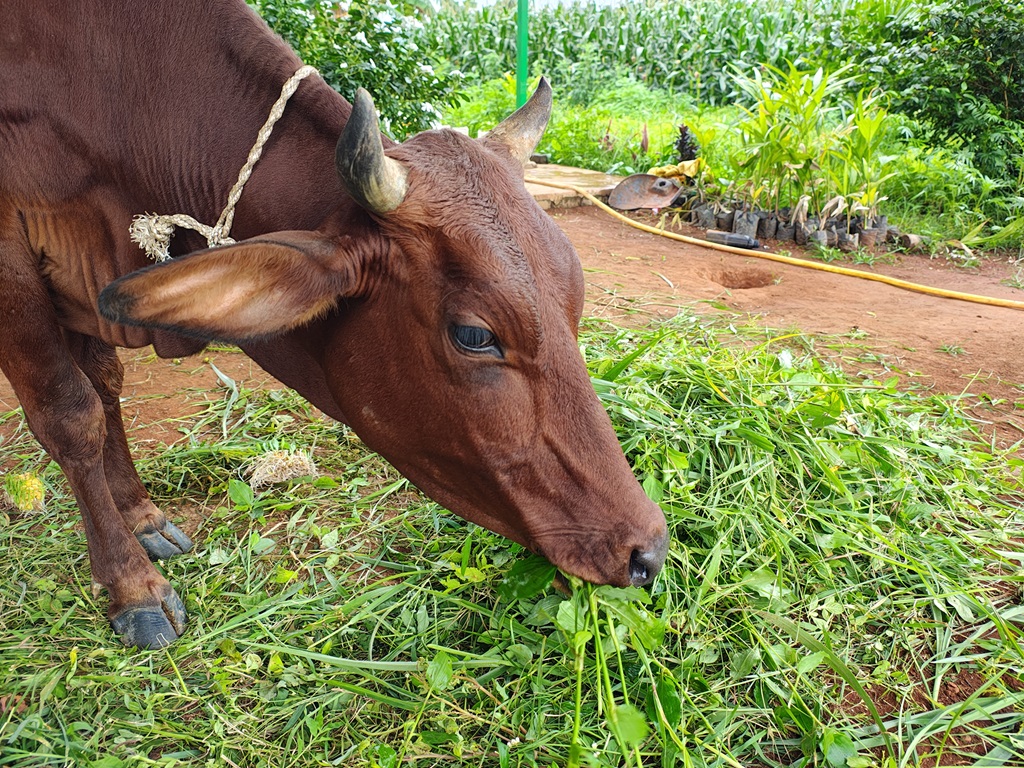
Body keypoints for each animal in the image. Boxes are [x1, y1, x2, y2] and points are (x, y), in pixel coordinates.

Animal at [0, 0, 667, 651]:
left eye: (575, 293)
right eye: (475, 336)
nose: (648, 552)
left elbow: (107, 387)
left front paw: (142, 517)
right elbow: (72, 417)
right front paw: (132, 585)